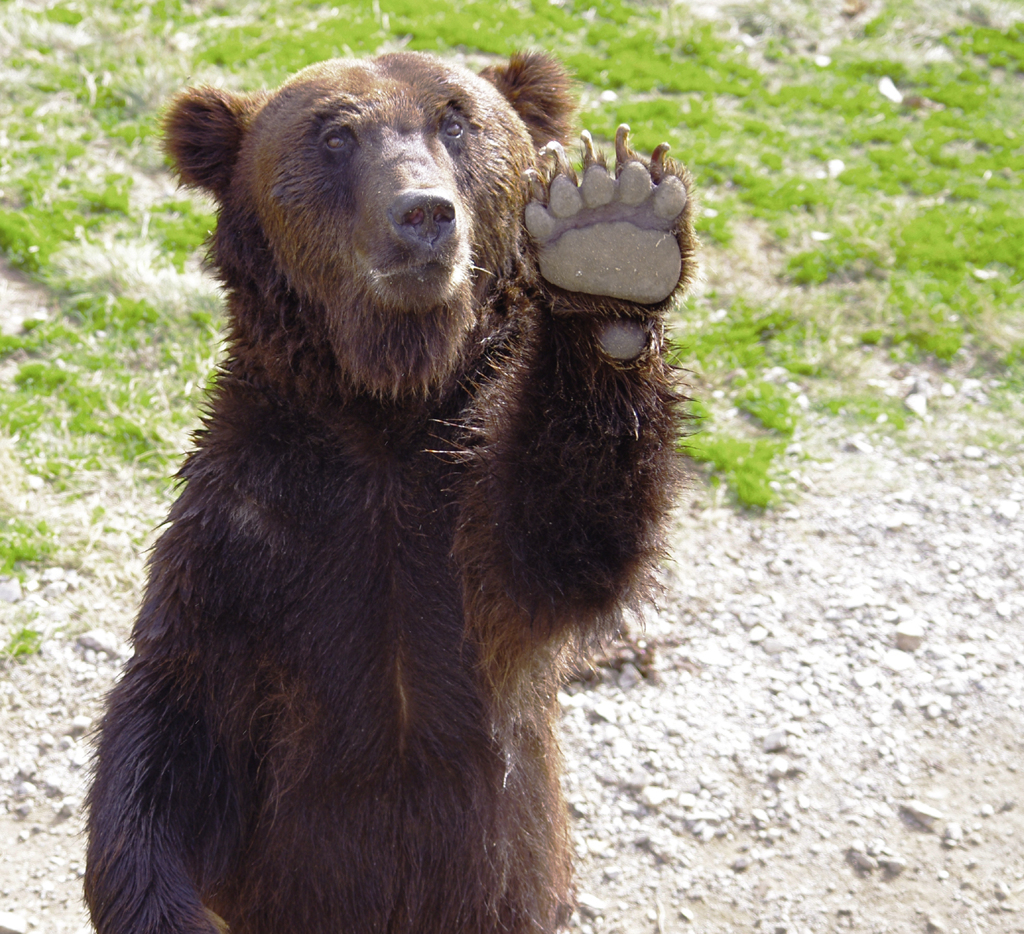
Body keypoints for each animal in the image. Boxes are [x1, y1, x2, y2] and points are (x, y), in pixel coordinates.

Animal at [86, 51, 696, 934]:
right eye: (336, 134)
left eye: (456, 119)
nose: (423, 214)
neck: (387, 407)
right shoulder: (253, 532)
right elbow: (175, 719)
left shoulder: (464, 522)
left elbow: (568, 531)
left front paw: (612, 232)